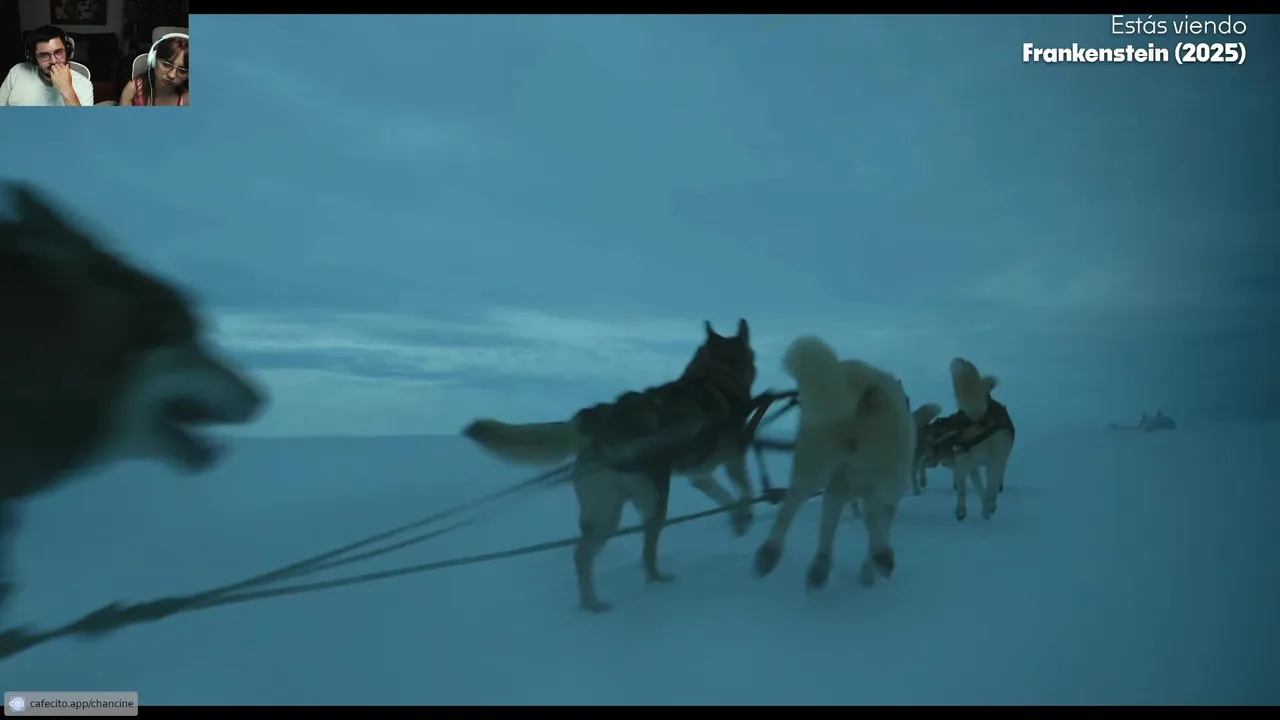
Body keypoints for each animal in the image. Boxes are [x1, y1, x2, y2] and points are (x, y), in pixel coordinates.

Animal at [463, 319, 758, 612]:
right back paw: (656, 581)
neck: (715, 376)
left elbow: (725, 496)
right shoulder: (732, 458)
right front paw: (745, 515)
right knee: (646, 552)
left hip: (604, 513)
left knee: (581, 554)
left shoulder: (700, 475)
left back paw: (592, 603)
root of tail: (599, 421)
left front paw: (738, 519)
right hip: (653, 501)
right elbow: (745, 489)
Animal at [753, 335, 915, 590]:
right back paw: (882, 555)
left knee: (791, 501)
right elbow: (875, 520)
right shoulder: (876, 491)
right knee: (873, 511)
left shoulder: (836, 489)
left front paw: (821, 566)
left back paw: (769, 553)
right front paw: (870, 568)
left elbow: (828, 528)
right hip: (882, 473)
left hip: (814, 463)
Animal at [918, 358, 1015, 521]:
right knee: (988, 486)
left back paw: (964, 510)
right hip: (988, 458)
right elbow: (986, 486)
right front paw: (989, 505)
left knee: (968, 488)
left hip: (971, 460)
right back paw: (984, 507)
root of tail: (981, 419)